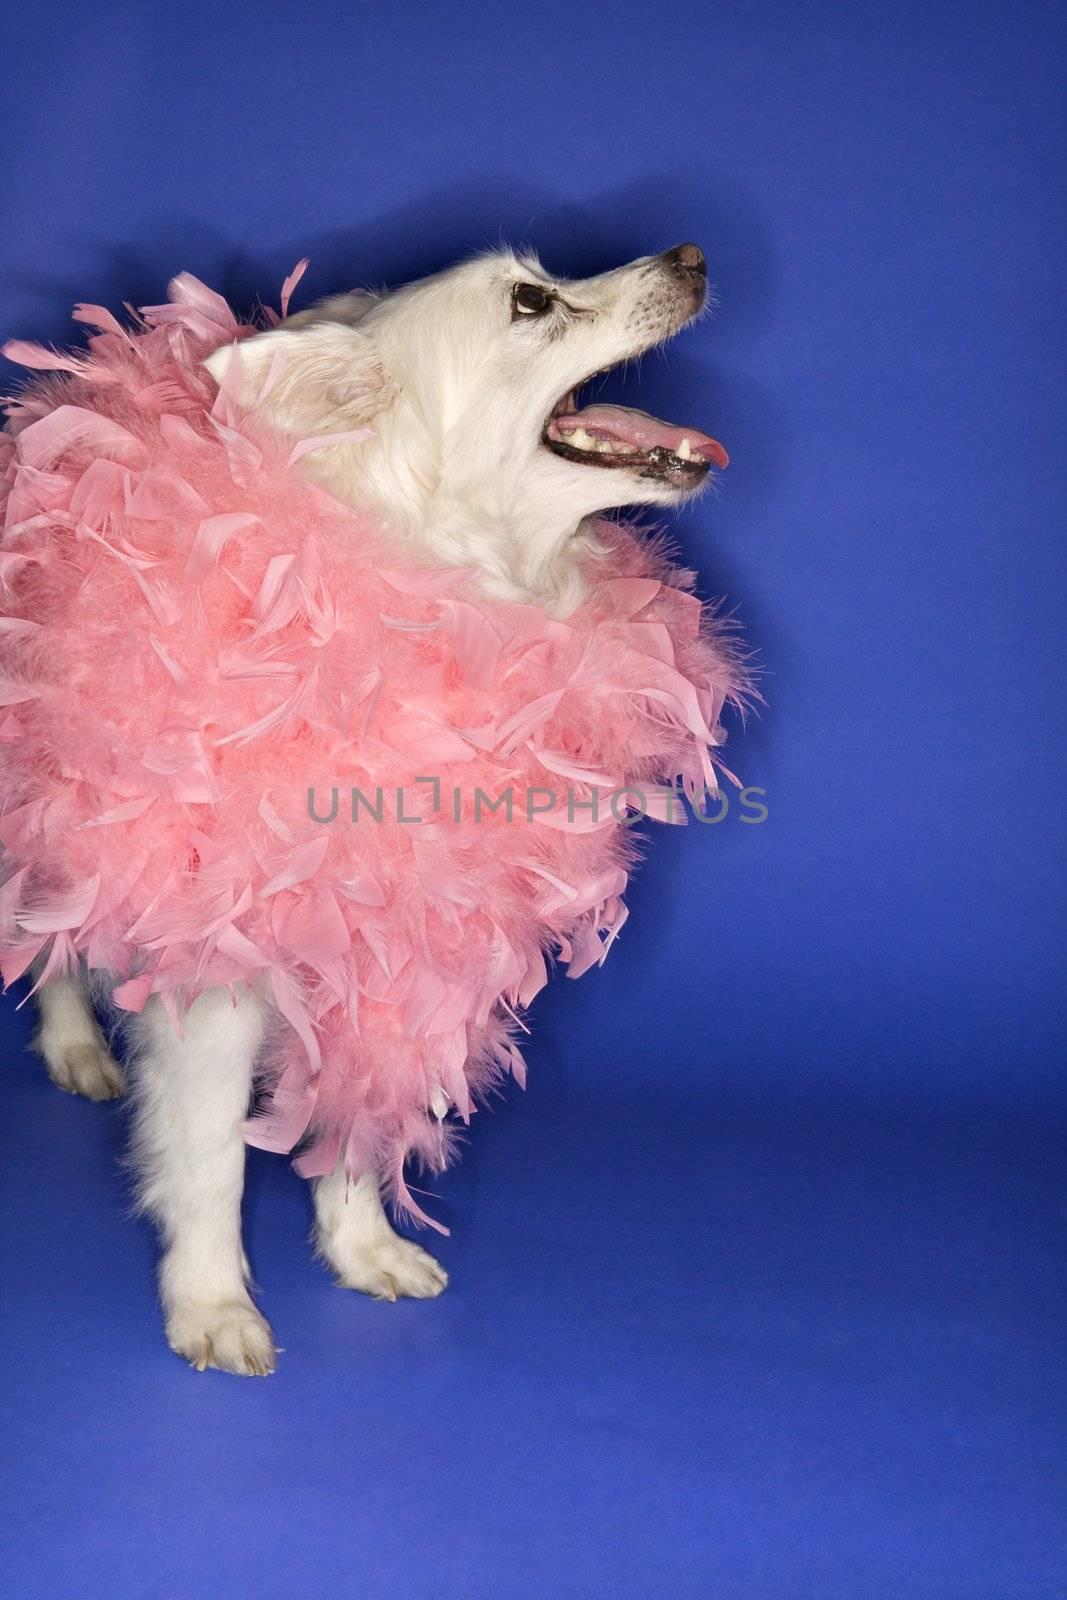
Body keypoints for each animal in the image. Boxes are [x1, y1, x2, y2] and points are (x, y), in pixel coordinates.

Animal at [31, 243, 726, 1369]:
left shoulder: (401, 949)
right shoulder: (221, 975)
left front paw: (362, 1249)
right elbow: (211, 1156)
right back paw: (72, 1045)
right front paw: (211, 1303)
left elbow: (362, 1115)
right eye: (530, 301)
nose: (691, 255)